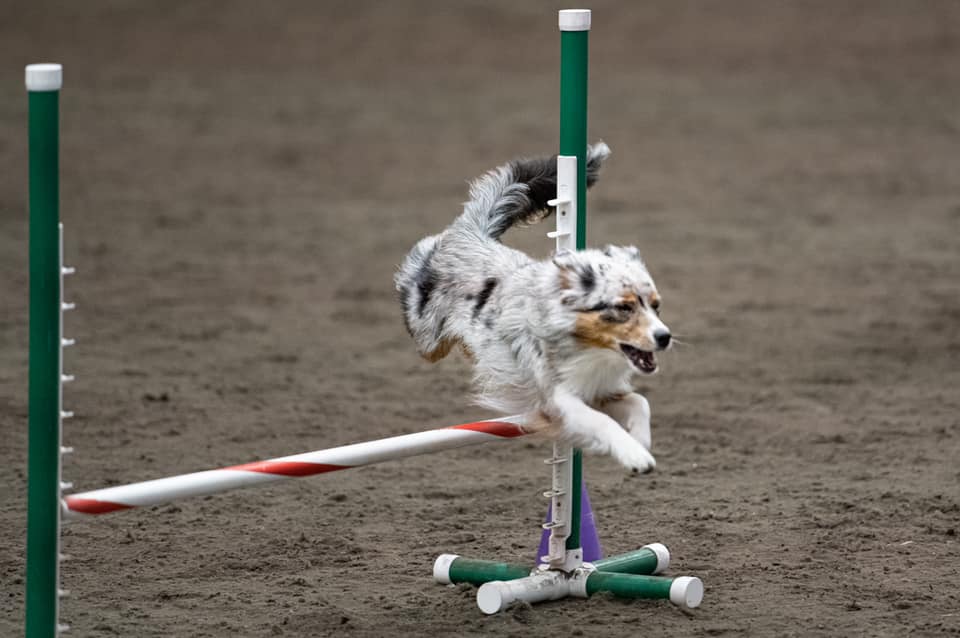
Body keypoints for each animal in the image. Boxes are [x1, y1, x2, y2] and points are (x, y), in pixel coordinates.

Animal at [394, 146, 672, 476]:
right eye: (623, 307)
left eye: (655, 305)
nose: (665, 337)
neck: (589, 347)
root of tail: (471, 233)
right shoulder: (556, 398)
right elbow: (600, 422)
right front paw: (635, 456)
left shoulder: (599, 389)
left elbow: (641, 402)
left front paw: (640, 442)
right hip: (429, 340)